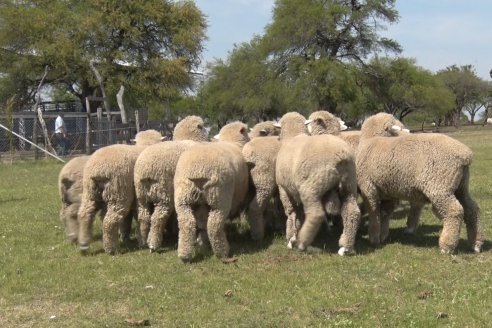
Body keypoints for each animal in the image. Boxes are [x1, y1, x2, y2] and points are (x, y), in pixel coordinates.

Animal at [134, 115, 209, 251]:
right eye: (204, 126)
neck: (188, 138)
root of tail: (145, 169)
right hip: (164, 194)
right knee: (158, 217)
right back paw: (153, 245)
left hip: (141, 196)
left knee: (143, 217)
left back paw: (143, 242)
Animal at [173, 120, 250, 262]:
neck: (233, 142)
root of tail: (197, 170)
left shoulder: (202, 204)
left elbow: (202, 223)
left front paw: (203, 243)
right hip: (219, 198)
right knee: (214, 225)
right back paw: (223, 252)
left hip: (183, 198)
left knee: (187, 223)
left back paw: (184, 256)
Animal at [274, 111, 360, 255]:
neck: (293, 136)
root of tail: (342, 156)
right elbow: (298, 213)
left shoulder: (284, 189)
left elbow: (291, 213)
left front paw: (291, 238)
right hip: (349, 185)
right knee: (352, 211)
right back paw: (345, 247)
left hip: (311, 188)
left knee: (316, 214)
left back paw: (303, 243)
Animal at [358, 111, 484, 252]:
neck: (371, 139)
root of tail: (465, 155)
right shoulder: (388, 191)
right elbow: (384, 213)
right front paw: (383, 236)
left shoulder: (368, 187)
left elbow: (374, 212)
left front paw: (374, 238)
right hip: (461, 186)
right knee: (472, 209)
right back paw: (476, 244)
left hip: (439, 187)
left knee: (454, 211)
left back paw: (447, 246)